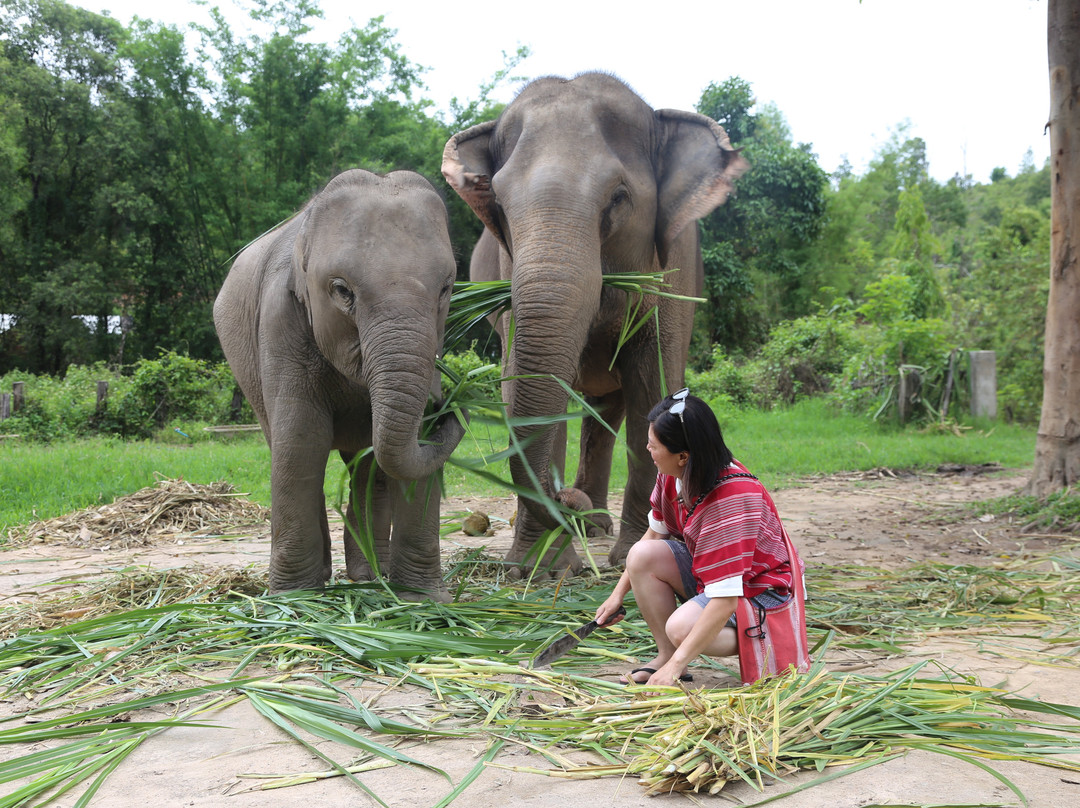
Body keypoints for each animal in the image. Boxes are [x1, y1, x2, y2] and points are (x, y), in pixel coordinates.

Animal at [213, 169, 465, 599]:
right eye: (342, 290)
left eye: (446, 288)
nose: (451, 409)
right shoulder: (281, 318)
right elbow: (302, 438)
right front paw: (294, 599)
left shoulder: (434, 337)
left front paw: (423, 598)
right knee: (288, 446)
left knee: (368, 467)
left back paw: (369, 575)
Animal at [442, 72, 746, 574]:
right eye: (499, 205)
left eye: (619, 198)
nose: (567, 504)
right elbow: (525, 386)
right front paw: (537, 568)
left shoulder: (674, 266)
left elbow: (653, 387)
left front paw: (632, 555)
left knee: (611, 407)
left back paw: (601, 529)